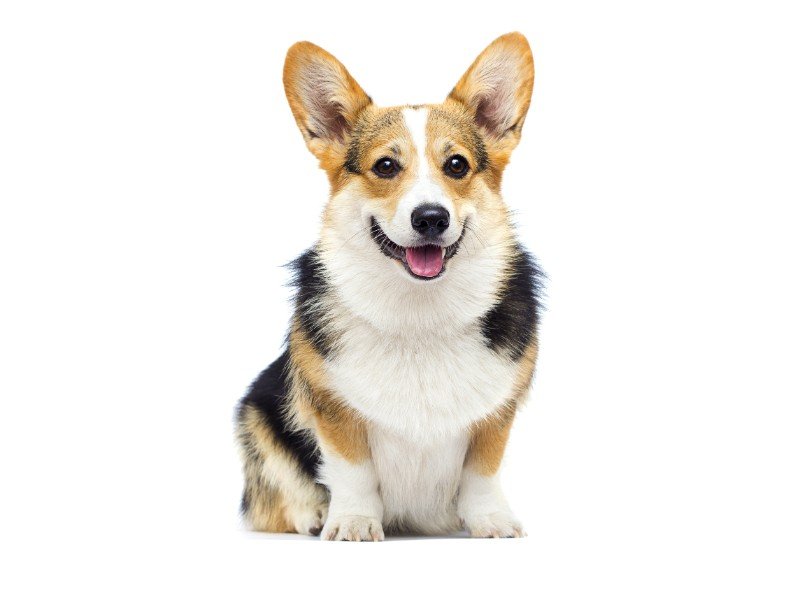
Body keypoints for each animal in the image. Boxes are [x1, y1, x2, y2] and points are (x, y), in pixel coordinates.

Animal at [234, 31, 540, 540]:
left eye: (456, 165)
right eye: (385, 167)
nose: (431, 218)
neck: (420, 313)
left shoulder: (497, 414)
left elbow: (483, 470)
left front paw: (491, 521)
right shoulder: (334, 411)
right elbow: (353, 471)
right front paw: (353, 522)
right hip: (257, 411)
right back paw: (313, 514)